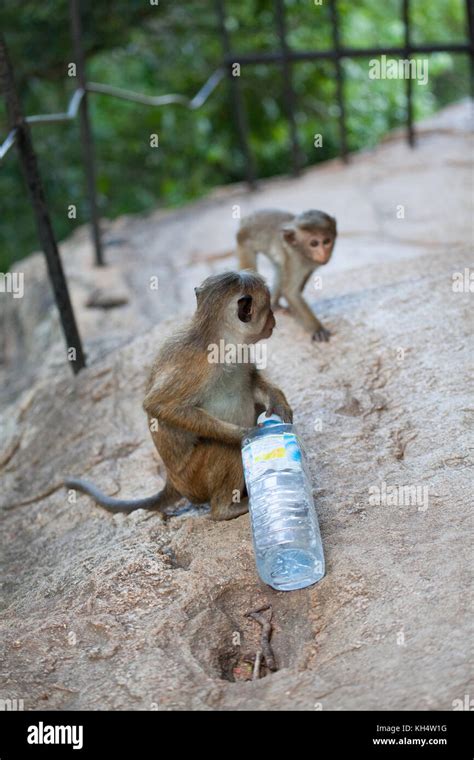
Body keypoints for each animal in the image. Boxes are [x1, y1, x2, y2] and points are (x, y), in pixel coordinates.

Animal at [65, 271, 292, 521]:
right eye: (267, 307)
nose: (274, 319)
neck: (219, 339)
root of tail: (172, 481)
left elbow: (252, 380)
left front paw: (278, 402)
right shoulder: (197, 368)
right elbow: (158, 405)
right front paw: (246, 433)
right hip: (193, 477)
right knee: (225, 447)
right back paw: (225, 508)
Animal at [237, 209, 337, 342]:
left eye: (326, 241)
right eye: (314, 243)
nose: (323, 253)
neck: (301, 251)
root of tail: (246, 219)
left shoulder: (310, 264)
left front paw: (292, 310)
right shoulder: (295, 258)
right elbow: (291, 292)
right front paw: (317, 329)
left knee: (280, 269)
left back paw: (275, 305)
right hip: (244, 240)